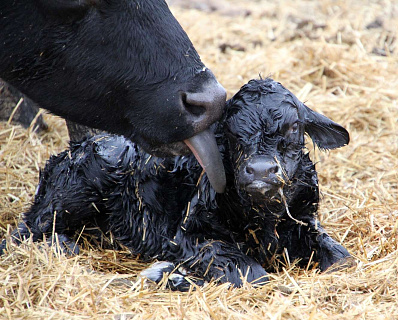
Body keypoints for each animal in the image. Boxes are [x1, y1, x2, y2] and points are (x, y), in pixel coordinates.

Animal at [2, 78, 352, 290]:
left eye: (294, 127)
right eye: (229, 130)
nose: (262, 171)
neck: (263, 218)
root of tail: (78, 147)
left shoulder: (305, 221)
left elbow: (343, 259)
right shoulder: (188, 235)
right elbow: (252, 274)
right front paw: (170, 275)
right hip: (73, 192)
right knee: (23, 233)